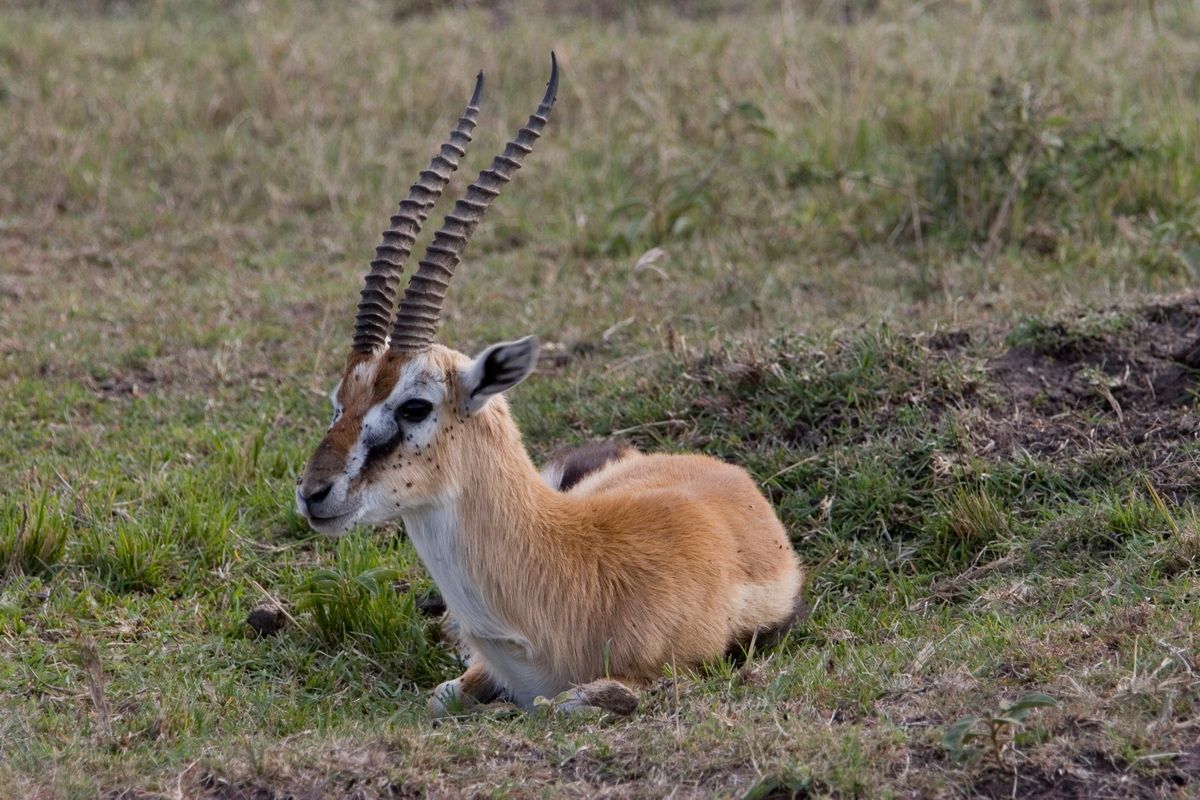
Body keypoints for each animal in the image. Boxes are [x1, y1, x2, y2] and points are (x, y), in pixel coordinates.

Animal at [295, 55, 805, 716]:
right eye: (341, 400)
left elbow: (562, 703)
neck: (568, 578)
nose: (314, 493)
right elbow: (442, 695)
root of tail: (726, 472)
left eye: (414, 406)